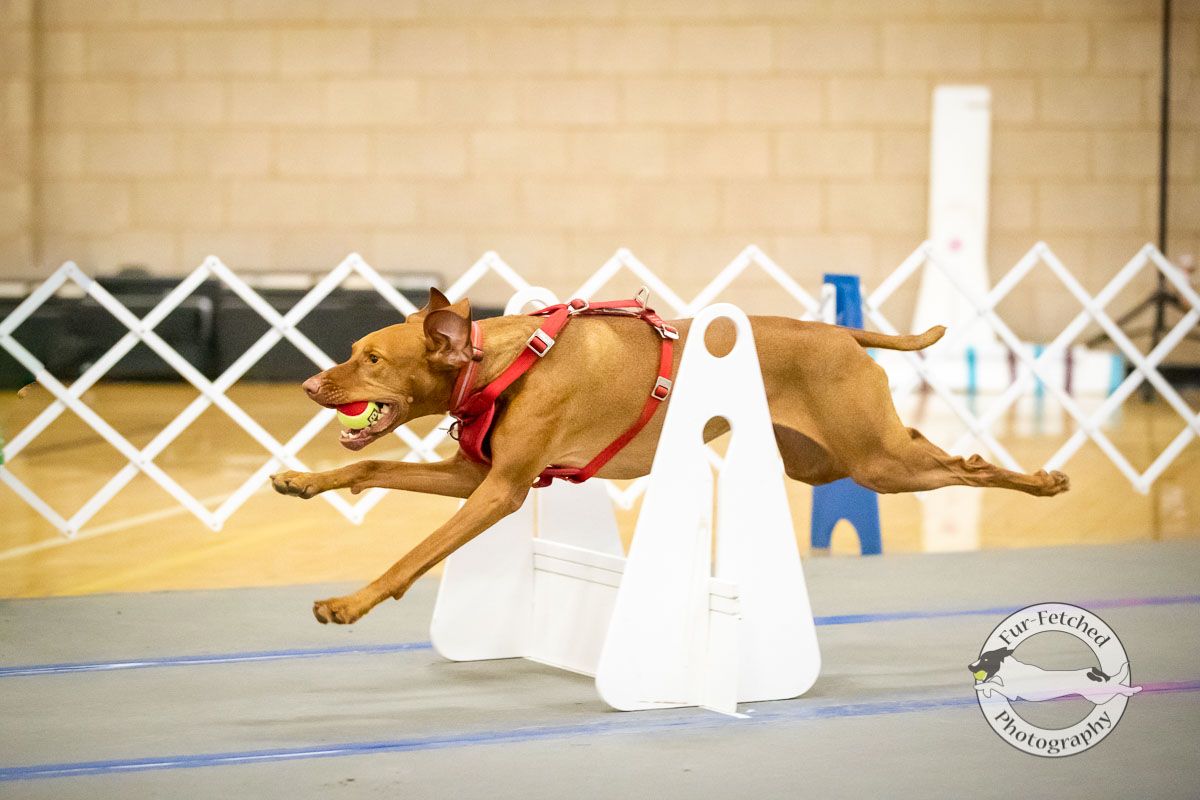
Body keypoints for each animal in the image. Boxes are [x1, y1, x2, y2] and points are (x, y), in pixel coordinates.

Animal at [271, 288, 1069, 625]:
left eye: (372, 359)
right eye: (352, 350)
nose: (310, 384)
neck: (503, 361)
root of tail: (843, 331)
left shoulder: (500, 489)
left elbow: (417, 551)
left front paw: (350, 602)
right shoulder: (474, 475)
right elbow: (368, 467)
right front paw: (301, 479)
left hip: (876, 461)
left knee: (964, 466)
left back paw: (1041, 478)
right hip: (831, 462)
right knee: (934, 453)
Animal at [970, 647, 1142, 704]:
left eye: (985, 659)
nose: (969, 666)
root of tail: (1094, 673)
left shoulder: (1011, 693)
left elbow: (992, 683)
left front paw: (982, 687)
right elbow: (993, 683)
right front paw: (983, 689)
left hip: (1099, 696)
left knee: (1117, 687)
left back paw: (1134, 689)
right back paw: (1132, 690)